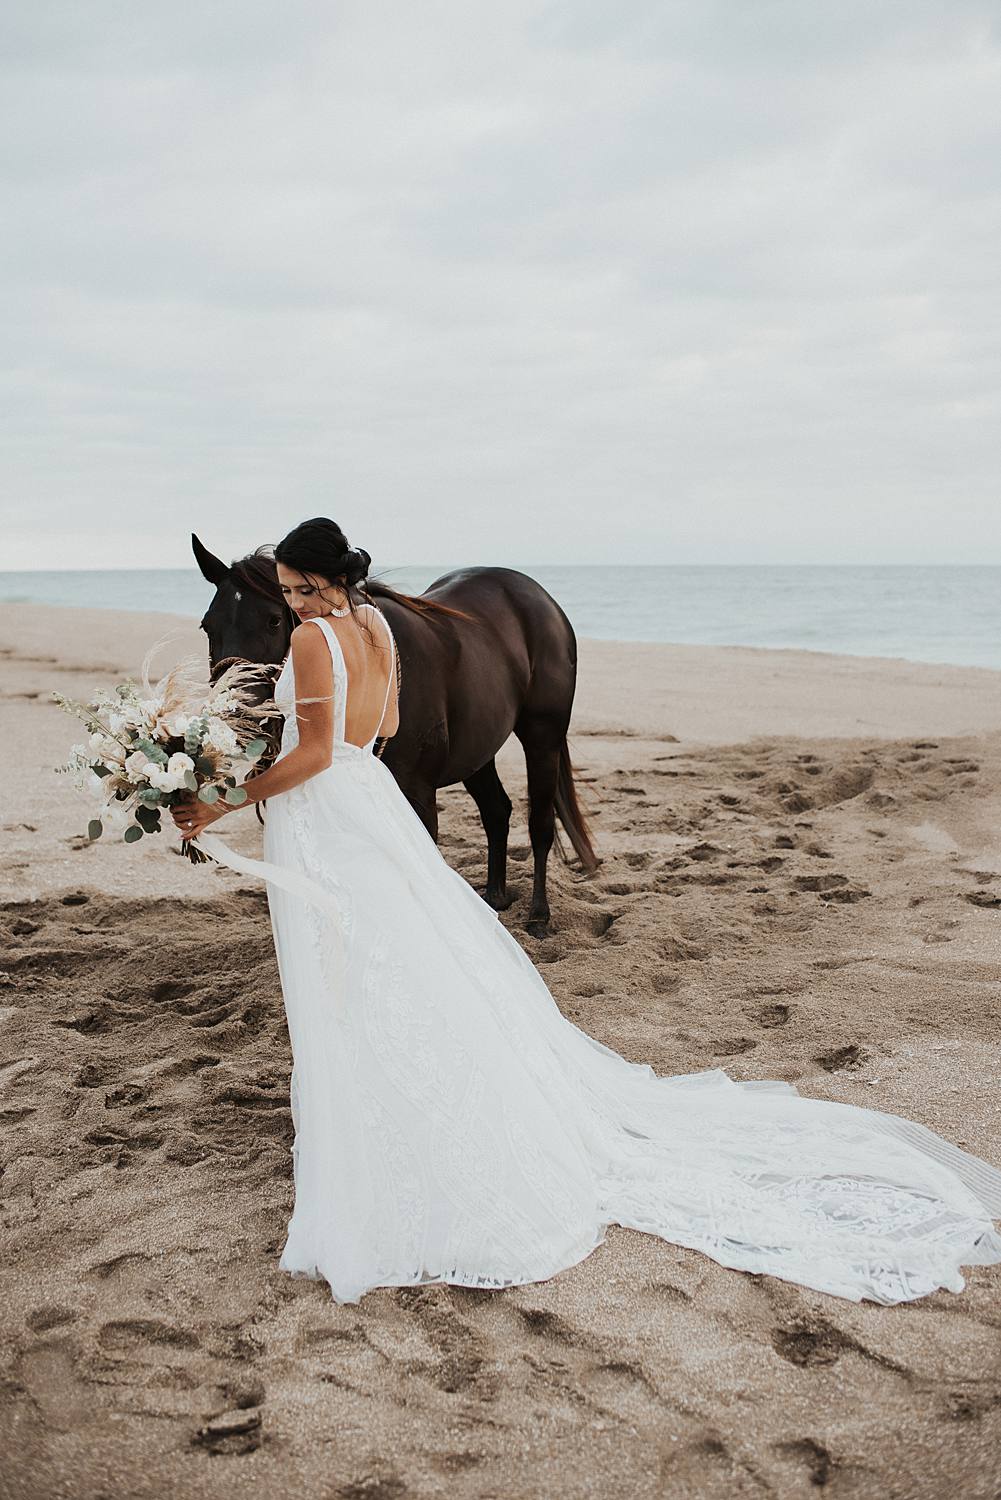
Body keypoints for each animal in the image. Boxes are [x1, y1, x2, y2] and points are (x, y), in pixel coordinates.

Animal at [189, 534, 594, 930]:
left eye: (274, 621)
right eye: (208, 626)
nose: (233, 712)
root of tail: (534, 593)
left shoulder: (419, 797)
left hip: (543, 736)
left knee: (540, 822)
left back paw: (539, 914)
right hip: (478, 750)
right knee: (497, 812)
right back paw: (494, 899)